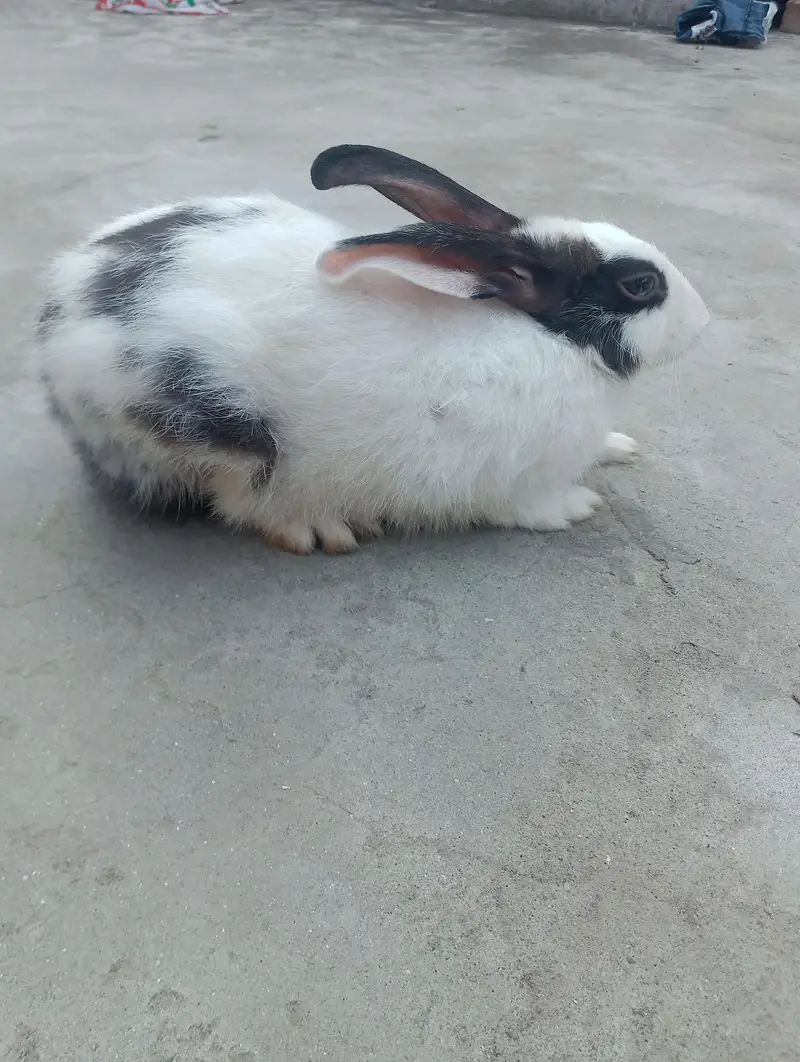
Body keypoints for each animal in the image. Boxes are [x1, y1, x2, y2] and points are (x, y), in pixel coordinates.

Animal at [35, 144, 710, 555]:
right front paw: (578, 506)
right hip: (214, 425)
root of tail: (57, 313)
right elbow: (530, 506)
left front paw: (619, 447)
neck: (552, 342)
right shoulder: (515, 479)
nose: (702, 324)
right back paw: (320, 527)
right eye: (640, 286)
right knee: (244, 500)